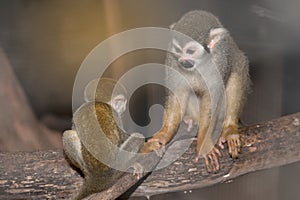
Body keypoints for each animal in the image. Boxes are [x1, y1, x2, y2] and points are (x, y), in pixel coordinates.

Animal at [143, 10, 251, 172]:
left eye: (190, 51)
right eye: (178, 50)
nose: (182, 61)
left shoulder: (219, 59)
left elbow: (212, 96)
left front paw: (204, 143)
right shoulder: (171, 59)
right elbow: (178, 94)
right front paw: (164, 134)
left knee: (237, 70)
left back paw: (229, 128)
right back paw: (190, 120)